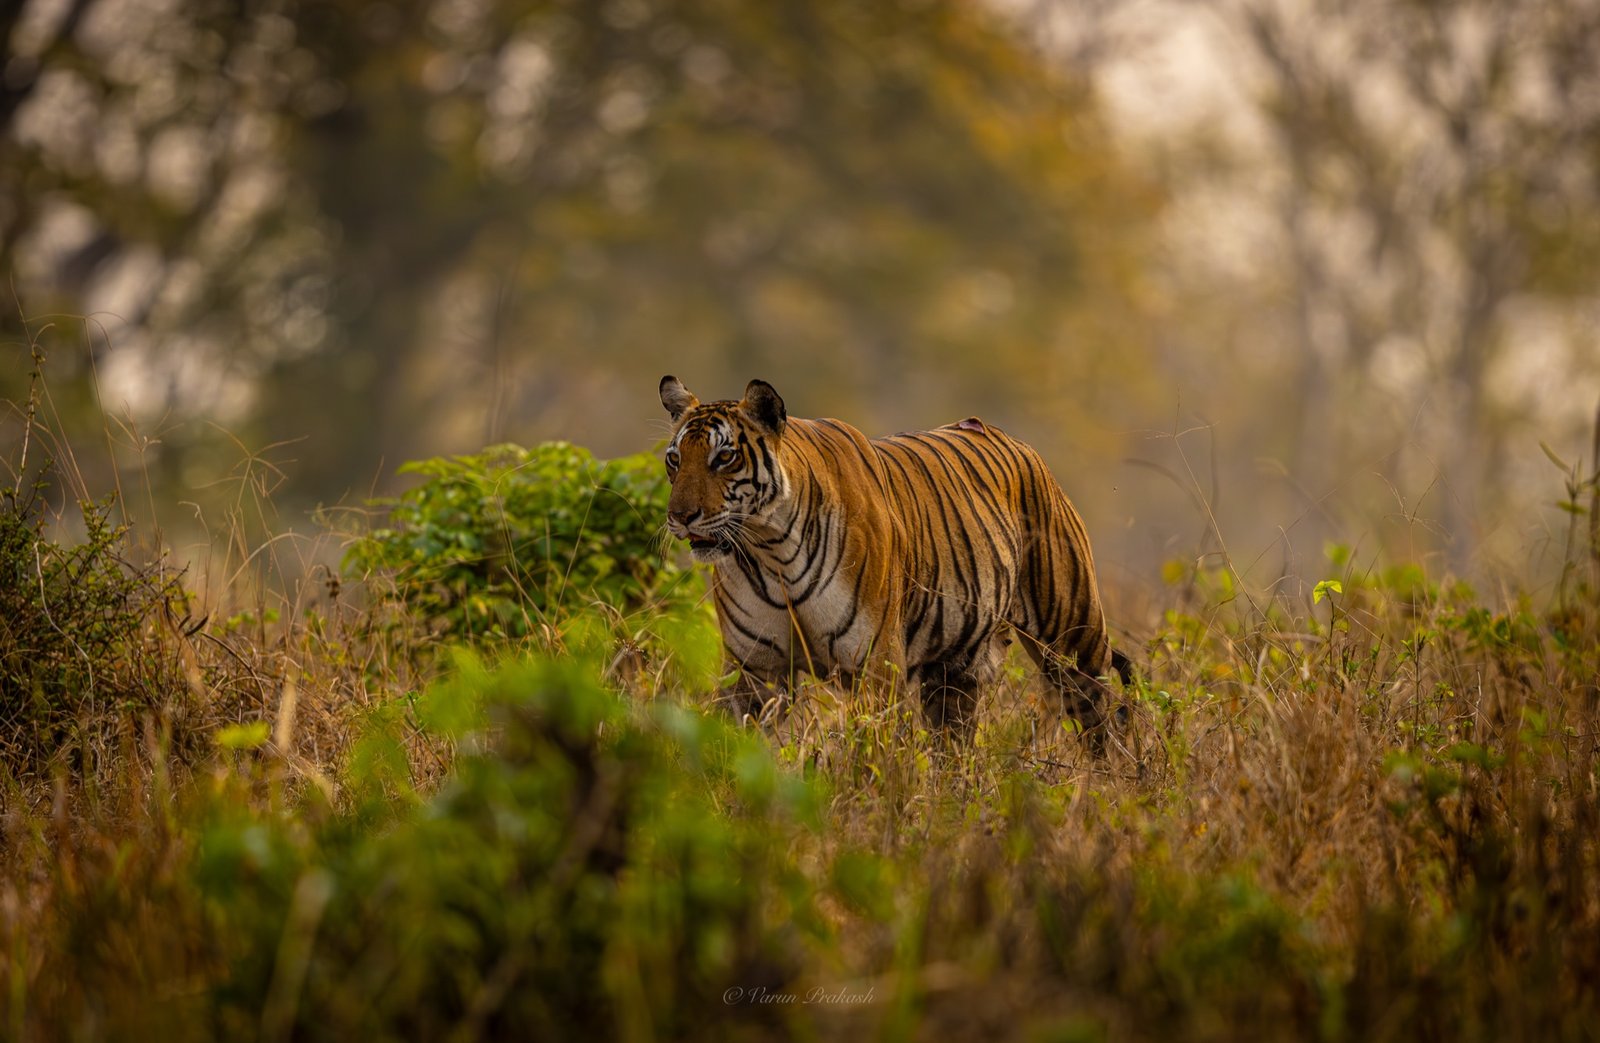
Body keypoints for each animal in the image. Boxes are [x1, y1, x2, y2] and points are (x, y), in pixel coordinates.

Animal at [659, 375, 1128, 751]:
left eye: (724, 457)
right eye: (674, 460)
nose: (680, 516)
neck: (767, 550)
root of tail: (1018, 442)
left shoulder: (875, 665)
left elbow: (875, 759)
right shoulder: (753, 672)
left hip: (1074, 640)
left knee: (1105, 725)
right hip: (954, 674)